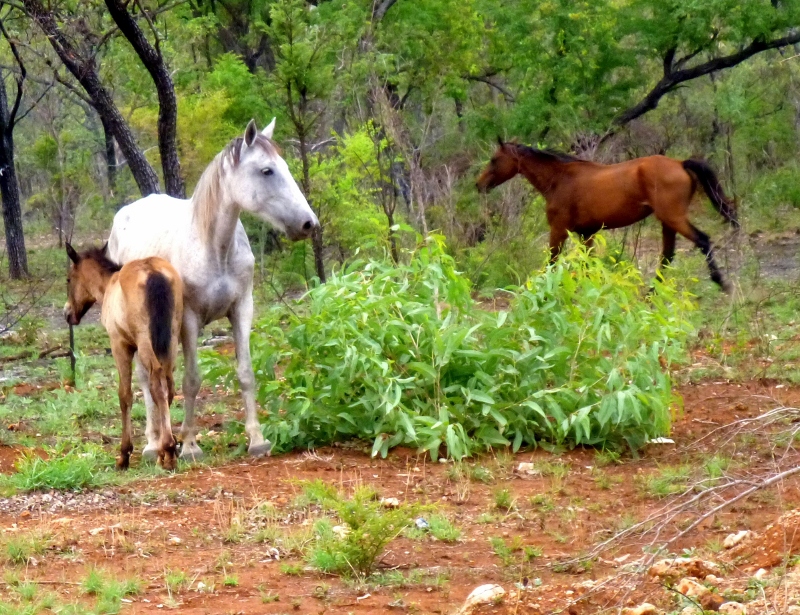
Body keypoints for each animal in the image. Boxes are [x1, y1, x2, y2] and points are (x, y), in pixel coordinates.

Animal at [64, 244, 183, 471]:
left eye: (68, 279)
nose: (67, 313)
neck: (108, 285)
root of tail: (153, 273)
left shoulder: (120, 345)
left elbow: (125, 395)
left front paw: (124, 454)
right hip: (172, 338)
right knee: (169, 384)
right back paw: (167, 449)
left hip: (145, 341)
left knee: (157, 385)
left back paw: (167, 448)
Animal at [107, 118, 318, 461]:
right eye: (267, 171)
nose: (308, 224)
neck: (214, 247)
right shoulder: (189, 320)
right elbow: (192, 380)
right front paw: (190, 445)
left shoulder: (242, 309)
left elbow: (245, 373)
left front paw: (257, 439)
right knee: (145, 378)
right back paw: (152, 444)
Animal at [476, 140, 739, 290]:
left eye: (494, 160)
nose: (479, 185)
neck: (560, 179)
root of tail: (680, 163)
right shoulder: (586, 233)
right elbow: (588, 264)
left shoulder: (559, 230)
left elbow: (552, 261)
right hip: (667, 221)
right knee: (667, 255)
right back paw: (653, 291)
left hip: (674, 218)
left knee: (702, 240)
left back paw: (720, 282)